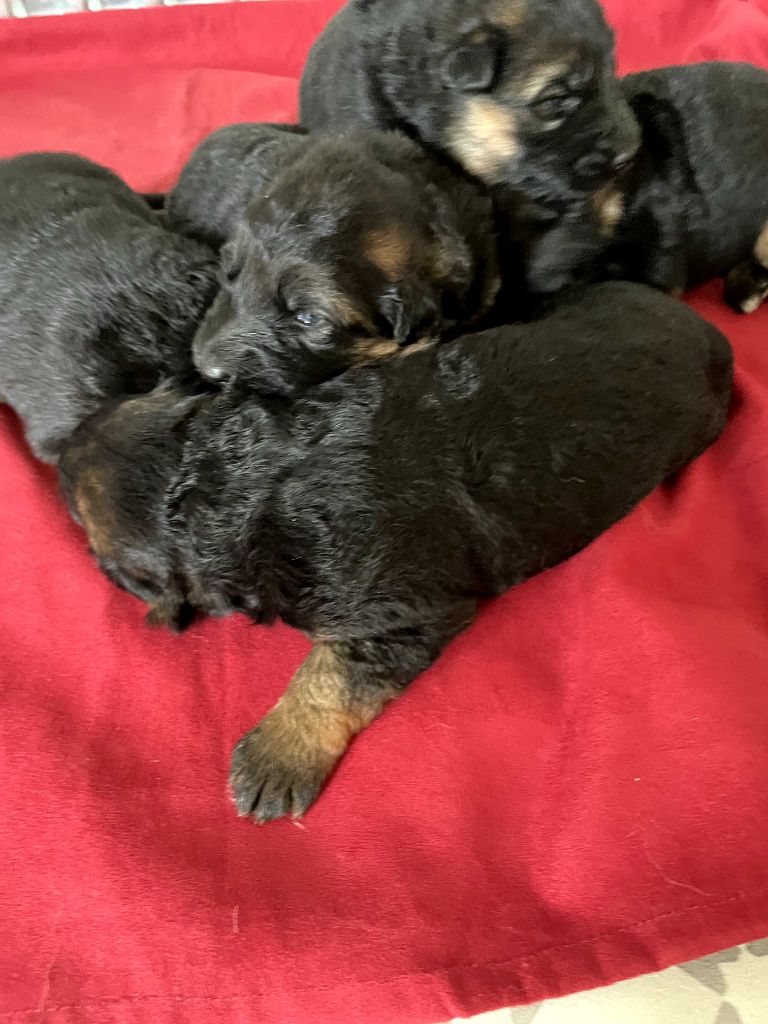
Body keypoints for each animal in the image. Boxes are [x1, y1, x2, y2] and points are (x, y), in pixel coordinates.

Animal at [59, 281, 732, 823]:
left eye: (96, 547)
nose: (62, 452)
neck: (240, 481)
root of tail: (712, 335)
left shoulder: (394, 612)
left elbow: (329, 676)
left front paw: (276, 758)